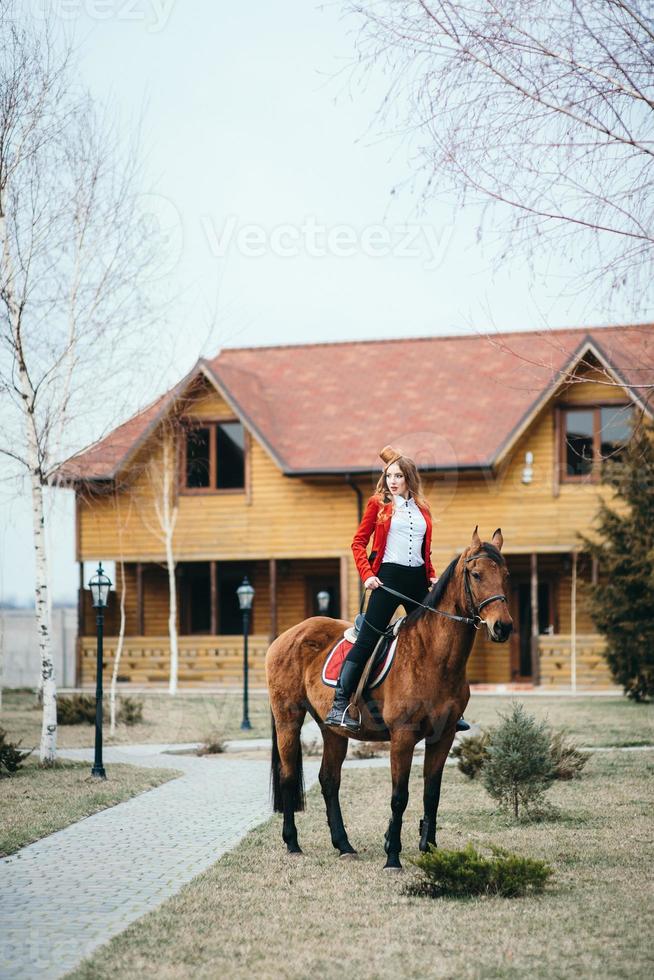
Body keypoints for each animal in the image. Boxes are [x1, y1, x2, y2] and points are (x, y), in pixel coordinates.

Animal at [266, 528, 512, 872]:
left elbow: (431, 794)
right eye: (476, 575)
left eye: (505, 575)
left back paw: (344, 845)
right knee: (289, 777)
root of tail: (289, 635)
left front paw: (429, 849)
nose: (503, 627)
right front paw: (392, 856)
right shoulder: (403, 737)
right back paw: (292, 843)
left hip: (333, 731)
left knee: (329, 780)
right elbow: (400, 796)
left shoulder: (444, 736)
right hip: (288, 718)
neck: (433, 656)